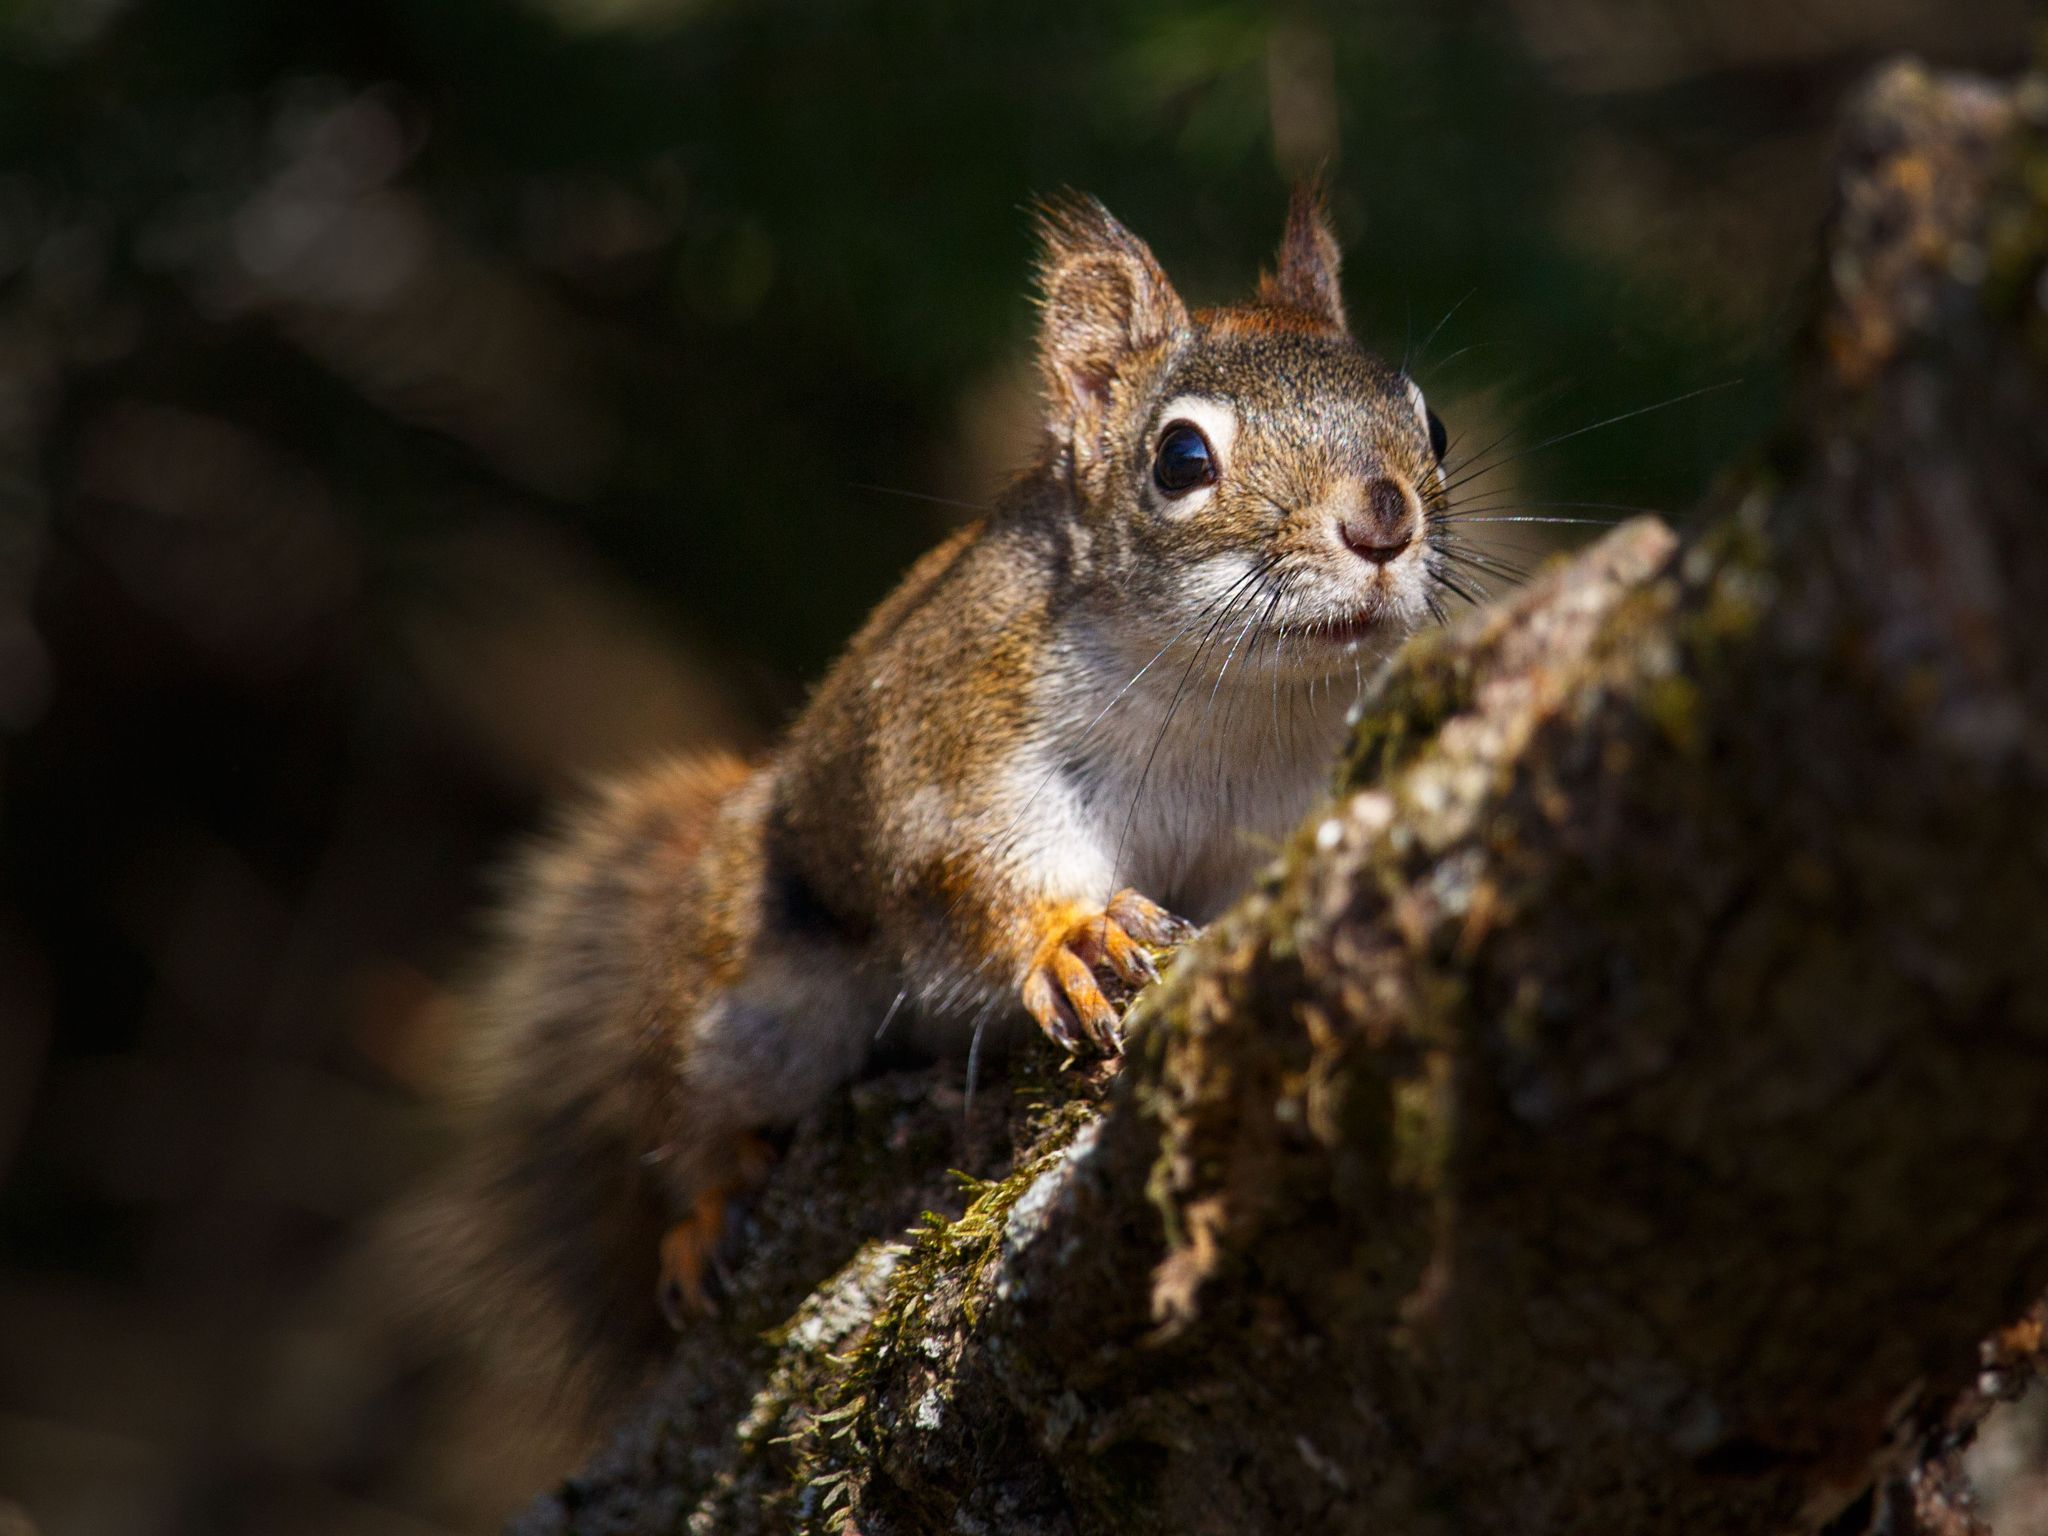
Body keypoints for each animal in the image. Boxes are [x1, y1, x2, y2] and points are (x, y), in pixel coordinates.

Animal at [447, 185, 1452, 1397]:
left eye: (1432, 426)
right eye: (1179, 458)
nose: (1384, 520)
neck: (1236, 707)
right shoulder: (952, 745)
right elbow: (970, 868)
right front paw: (1077, 936)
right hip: (741, 990)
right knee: (691, 1114)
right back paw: (708, 1198)